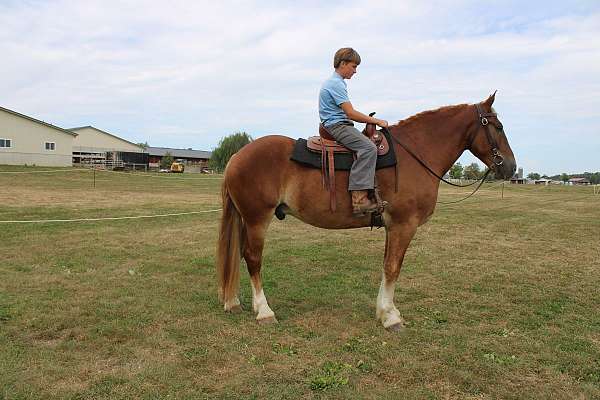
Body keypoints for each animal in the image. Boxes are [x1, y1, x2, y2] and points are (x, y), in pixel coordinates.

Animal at [216, 93, 516, 332]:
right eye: (499, 127)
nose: (511, 167)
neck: (415, 154)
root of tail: (237, 156)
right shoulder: (404, 225)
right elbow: (393, 267)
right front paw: (391, 317)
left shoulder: (392, 227)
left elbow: (387, 266)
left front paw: (384, 310)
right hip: (257, 219)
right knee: (253, 258)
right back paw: (264, 312)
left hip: (247, 219)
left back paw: (235, 302)